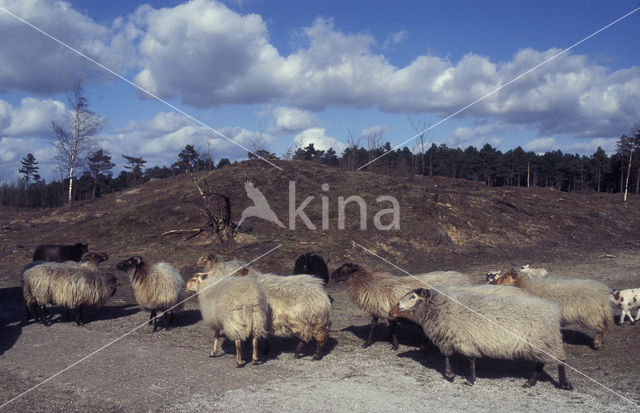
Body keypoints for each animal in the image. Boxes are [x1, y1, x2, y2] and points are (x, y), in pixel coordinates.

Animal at [330, 264, 470, 348]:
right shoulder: (377, 309)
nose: (331, 276)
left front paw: (395, 345)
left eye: (343, 270)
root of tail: (465, 279)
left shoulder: (386, 310)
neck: (368, 284)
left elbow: (392, 328)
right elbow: (373, 326)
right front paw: (368, 343)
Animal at [390, 286, 576, 390]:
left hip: (546, 341)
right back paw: (530, 383)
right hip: (540, 344)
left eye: (413, 296)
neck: (440, 308)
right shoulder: (456, 339)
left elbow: (465, 360)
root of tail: (553, 310)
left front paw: (463, 378)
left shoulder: (462, 340)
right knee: (541, 363)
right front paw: (457, 375)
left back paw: (565, 383)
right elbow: (451, 356)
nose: (398, 305)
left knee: (561, 360)